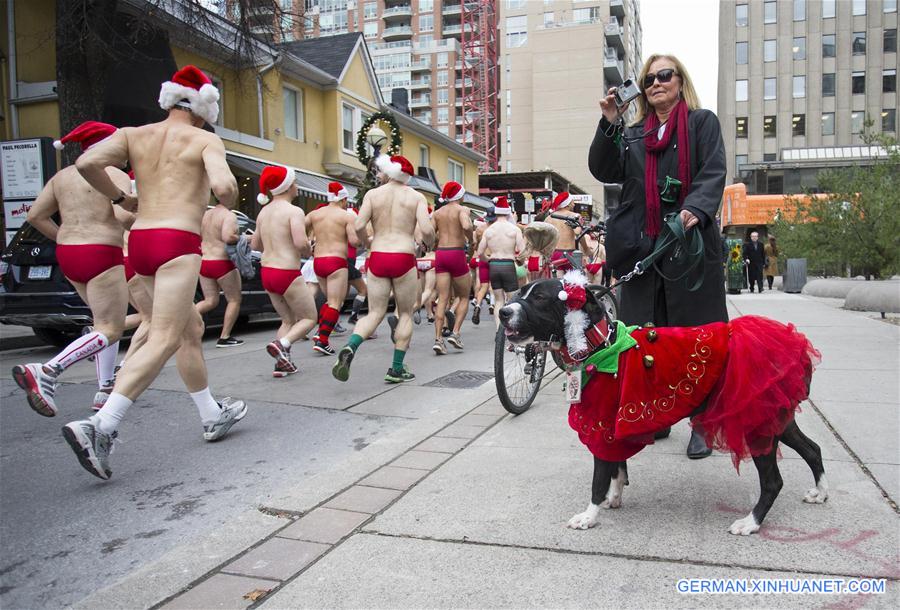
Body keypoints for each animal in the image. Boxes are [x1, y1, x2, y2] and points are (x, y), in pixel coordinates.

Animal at [502, 278, 828, 536]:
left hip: (757, 421)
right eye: (519, 292)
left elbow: (599, 478)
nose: (504, 311)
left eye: (540, 297)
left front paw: (589, 515)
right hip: (776, 418)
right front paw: (615, 498)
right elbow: (617, 468)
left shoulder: (602, 425)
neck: (602, 345)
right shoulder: (613, 427)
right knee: (813, 449)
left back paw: (751, 522)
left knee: (773, 481)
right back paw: (820, 492)